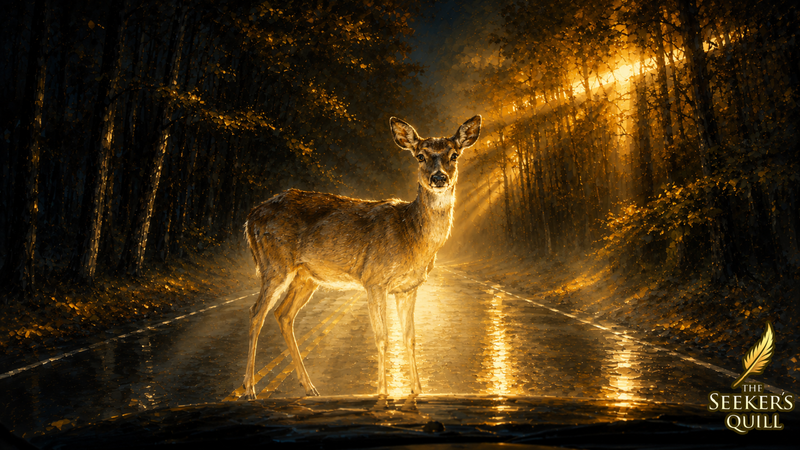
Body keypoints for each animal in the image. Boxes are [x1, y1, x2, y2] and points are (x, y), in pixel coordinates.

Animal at [241, 115, 482, 399]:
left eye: (454, 154)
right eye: (420, 156)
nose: (439, 178)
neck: (410, 234)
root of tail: (250, 218)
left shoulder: (408, 288)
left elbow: (410, 338)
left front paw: (417, 390)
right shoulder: (374, 279)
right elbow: (382, 337)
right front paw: (382, 392)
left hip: (305, 277)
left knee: (283, 314)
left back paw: (309, 386)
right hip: (274, 264)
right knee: (257, 312)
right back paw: (249, 388)